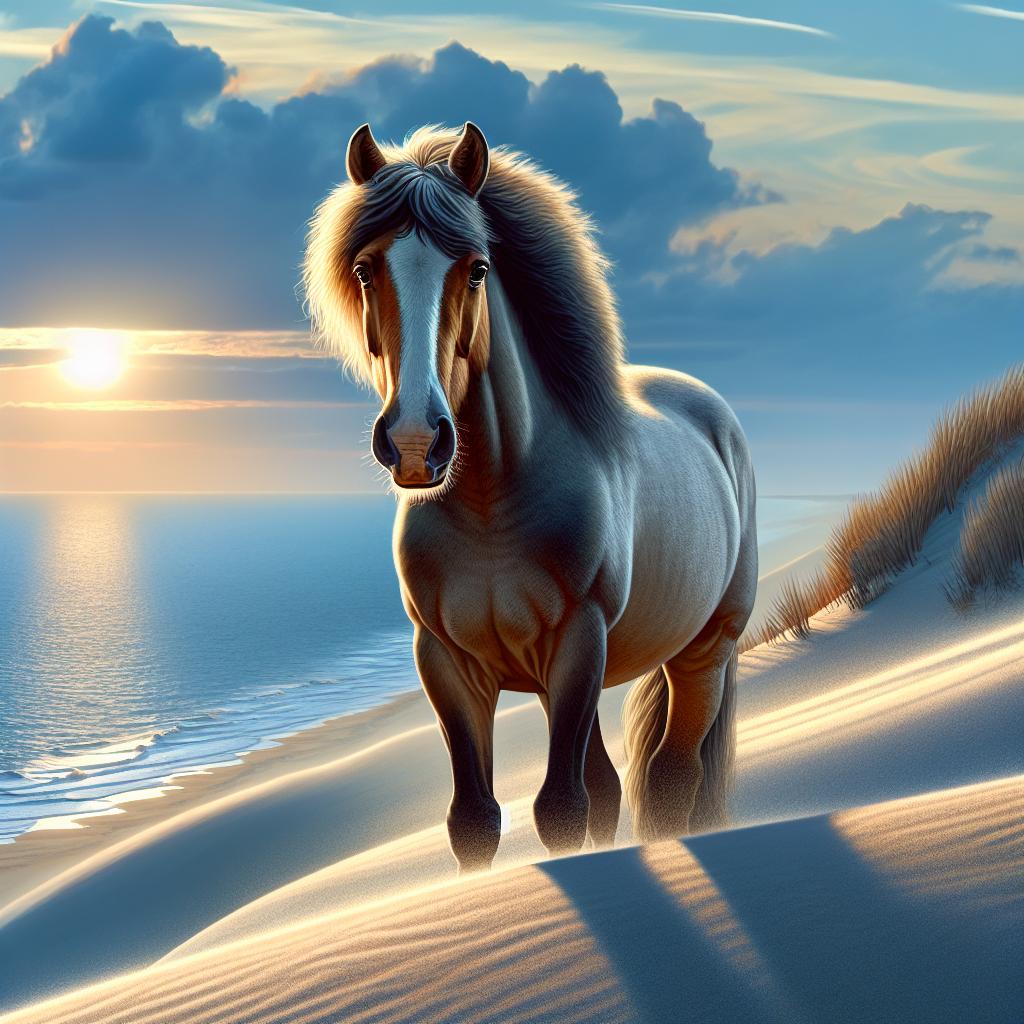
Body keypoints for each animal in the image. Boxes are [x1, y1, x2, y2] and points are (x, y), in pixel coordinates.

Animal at [304, 122, 757, 872]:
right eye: (367, 270)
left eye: (477, 269)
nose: (414, 441)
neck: (491, 509)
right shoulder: (447, 662)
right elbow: (475, 819)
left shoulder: (578, 642)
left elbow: (562, 809)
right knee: (614, 788)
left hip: (704, 651)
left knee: (671, 780)